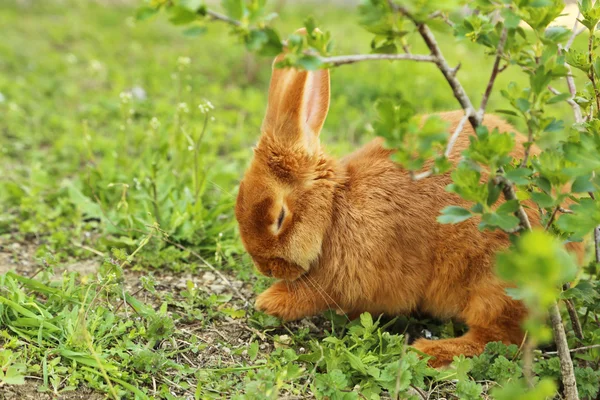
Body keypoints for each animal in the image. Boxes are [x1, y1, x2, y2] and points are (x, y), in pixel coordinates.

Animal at [234, 32, 580, 368]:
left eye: (279, 218)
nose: (266, 268)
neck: (334, 209)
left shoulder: (349, 277)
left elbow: (311, 294)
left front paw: (270, 301)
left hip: (497, 282)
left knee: (500, 339)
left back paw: (430, 352)